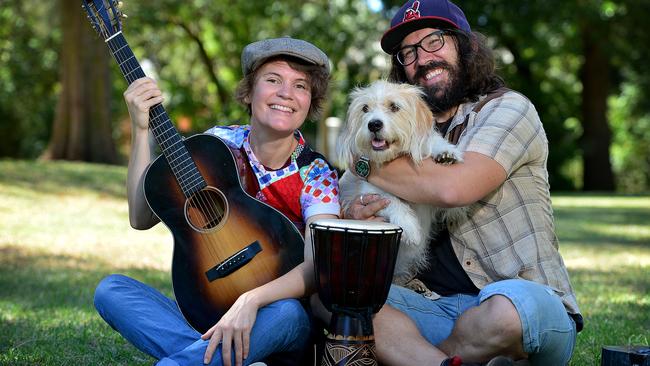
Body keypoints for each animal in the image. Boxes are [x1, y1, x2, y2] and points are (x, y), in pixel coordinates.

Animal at [334, 79, 466, 280]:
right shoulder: (370, 190)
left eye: (394, 107)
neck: (392, 158)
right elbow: (392, 201)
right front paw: (411, 229)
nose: (374, 125)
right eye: (365, 108)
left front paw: (445, 152)